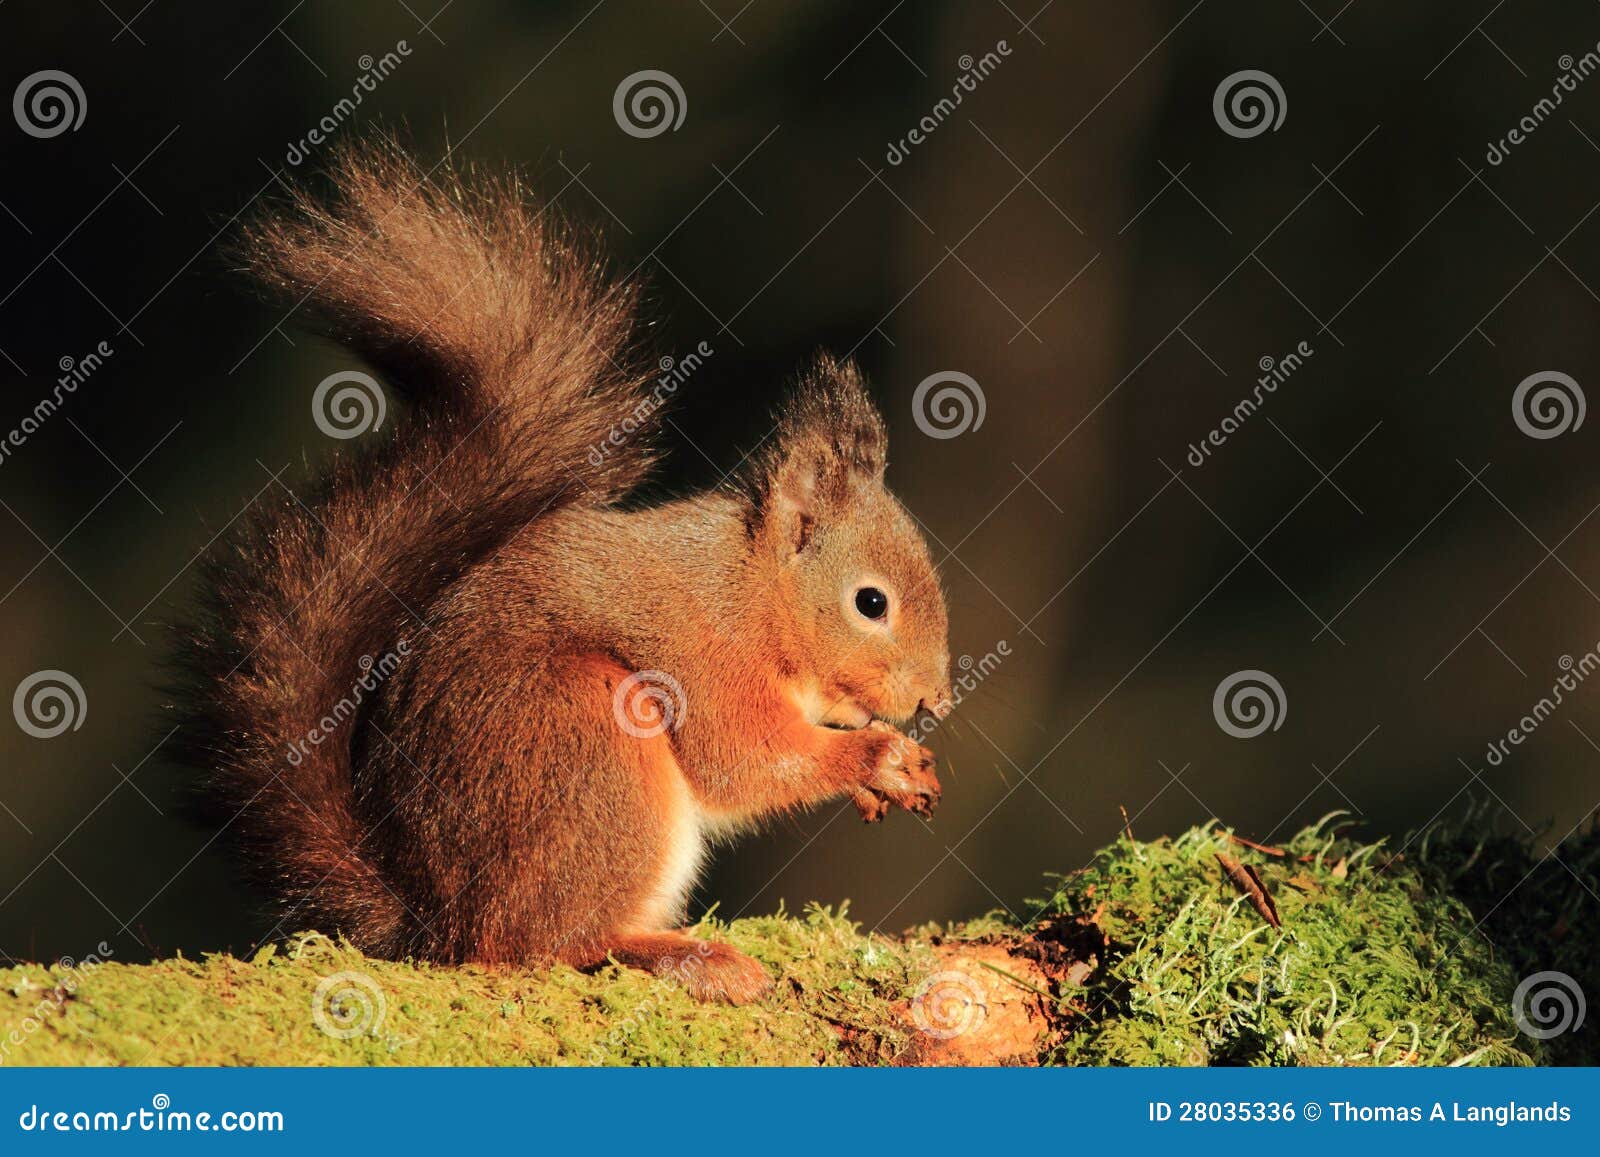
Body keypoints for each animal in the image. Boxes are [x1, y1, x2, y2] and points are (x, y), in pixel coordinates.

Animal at [175, 142, 947, 1004]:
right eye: (870, 602)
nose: (937, 698)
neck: (755, 594)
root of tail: (433, 917)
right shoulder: (704, 655)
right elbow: (741, 759)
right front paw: (873, 757)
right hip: (590, 747)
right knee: (539, 942)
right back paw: (681, 956)